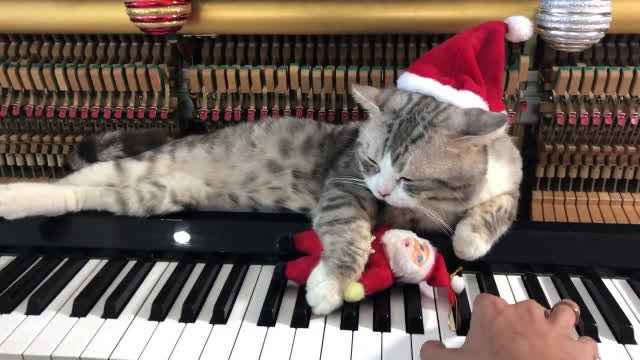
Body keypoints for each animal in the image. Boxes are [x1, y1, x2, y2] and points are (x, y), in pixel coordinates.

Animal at [0, 85, 520, 316]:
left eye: (409, 175)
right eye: (370, 161)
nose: (382, 188)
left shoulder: (507, 177)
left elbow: (504, 206)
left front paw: (471, 238)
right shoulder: (346, 183)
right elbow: (350, 232)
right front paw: (329, 284)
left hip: (157, 193)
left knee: (97, 192)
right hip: (152, 162)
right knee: (87, 177)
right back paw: (15, 196)